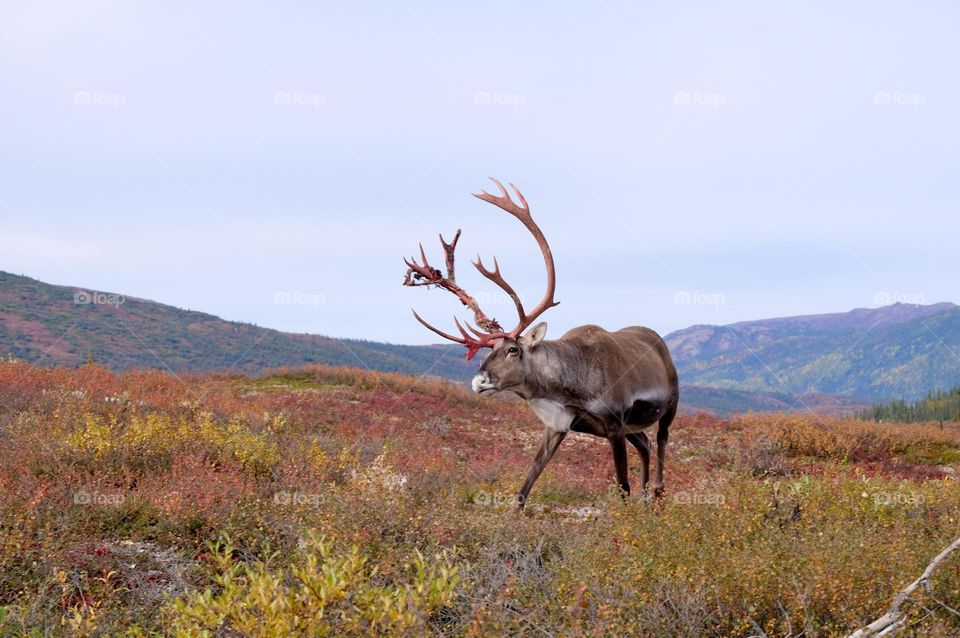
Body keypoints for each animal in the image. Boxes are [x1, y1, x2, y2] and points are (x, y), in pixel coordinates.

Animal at [403, 178, 679, 508]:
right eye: (488, 350)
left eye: (513, 349)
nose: (479, 381)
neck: (567, 387)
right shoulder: (557, 426)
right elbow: (528, 481)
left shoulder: (614, 424)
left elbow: (622, 486)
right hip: (633, 426)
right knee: (646, 444)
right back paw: (647, 496)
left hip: (669, 405)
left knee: (661, 440)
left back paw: (657, 490)